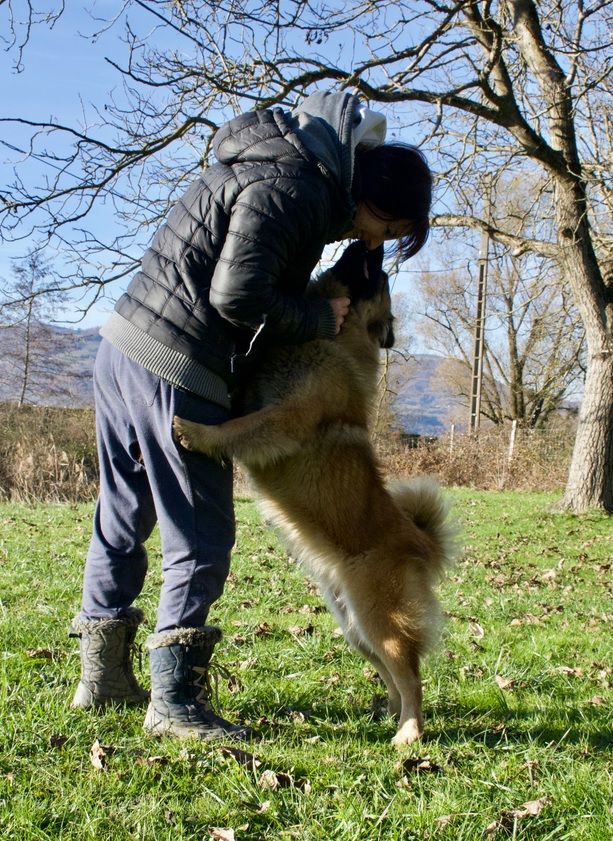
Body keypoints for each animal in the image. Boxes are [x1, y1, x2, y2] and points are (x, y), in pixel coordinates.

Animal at [172, 241, 454, 740]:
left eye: (377, 278)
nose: (371, 245)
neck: (335, 338)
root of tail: (418, 538)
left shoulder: (285, 418)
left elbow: (238, 428)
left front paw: (196, 431)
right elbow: (241, 403)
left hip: (378, 617)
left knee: (411, 673)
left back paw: (409, 732)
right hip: (354, 626)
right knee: (391, 672)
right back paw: (387, 714)